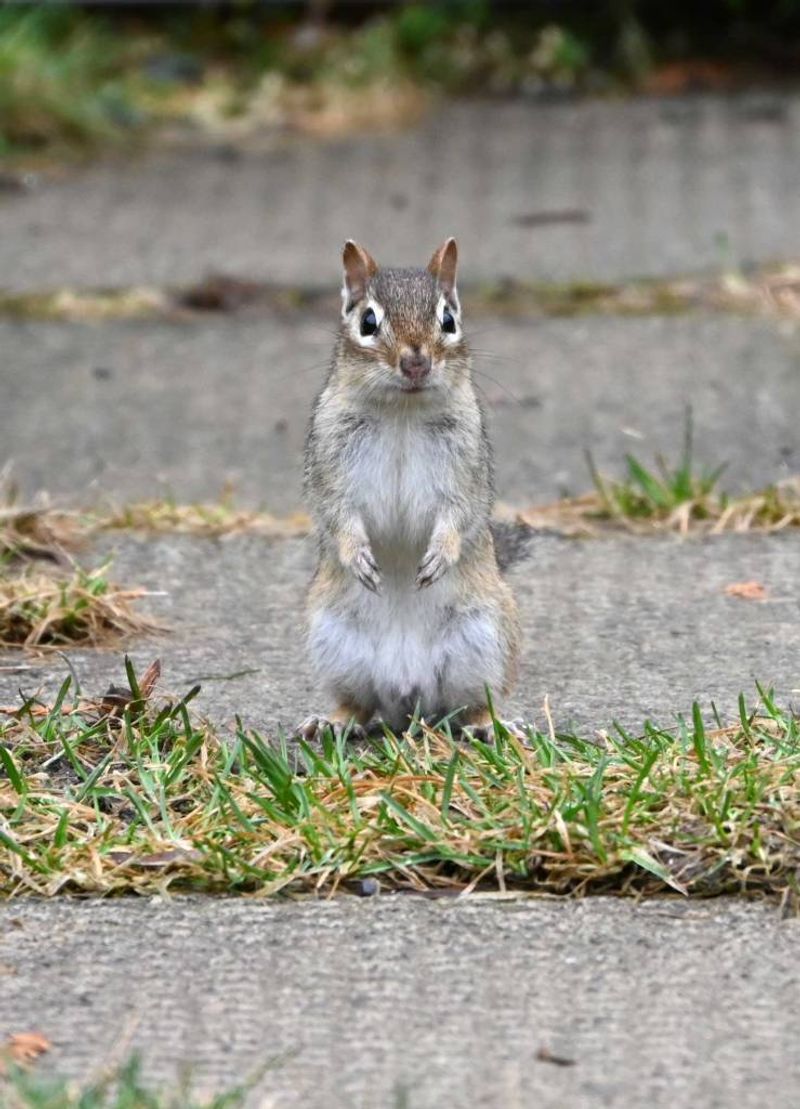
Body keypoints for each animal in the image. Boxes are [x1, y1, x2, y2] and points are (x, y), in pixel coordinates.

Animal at [299, 238, 524, 739]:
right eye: (367, 322)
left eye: (449, 320)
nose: (416, 361)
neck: (402, 410)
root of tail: (408, 698)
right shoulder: (329, 464)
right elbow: (337, 514)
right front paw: (357, 555)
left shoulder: (466, 469)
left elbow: (460, 514)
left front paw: (440, 553)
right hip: (334, 641)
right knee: (357, 704)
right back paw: (331, 721)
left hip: (483, 640)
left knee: (473, 702)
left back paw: (488, 725)